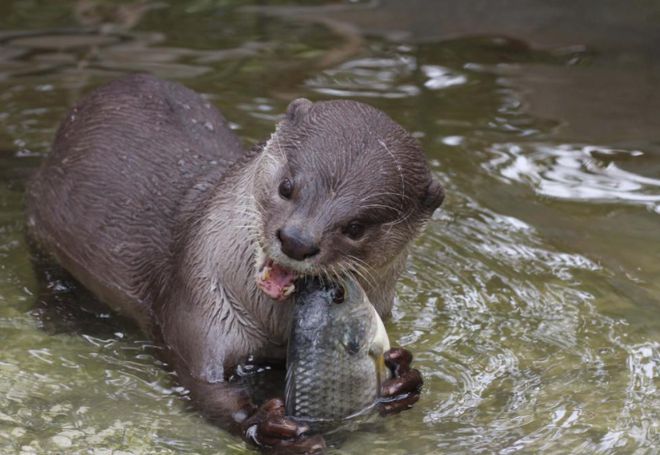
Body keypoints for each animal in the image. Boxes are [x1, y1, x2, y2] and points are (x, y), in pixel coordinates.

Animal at [28, 73, 446, 450]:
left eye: (356, 227)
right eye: (287, 187)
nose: (297, 241)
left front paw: (402, 378)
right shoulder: (199, 303)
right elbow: (204, 386)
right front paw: (265, 425)